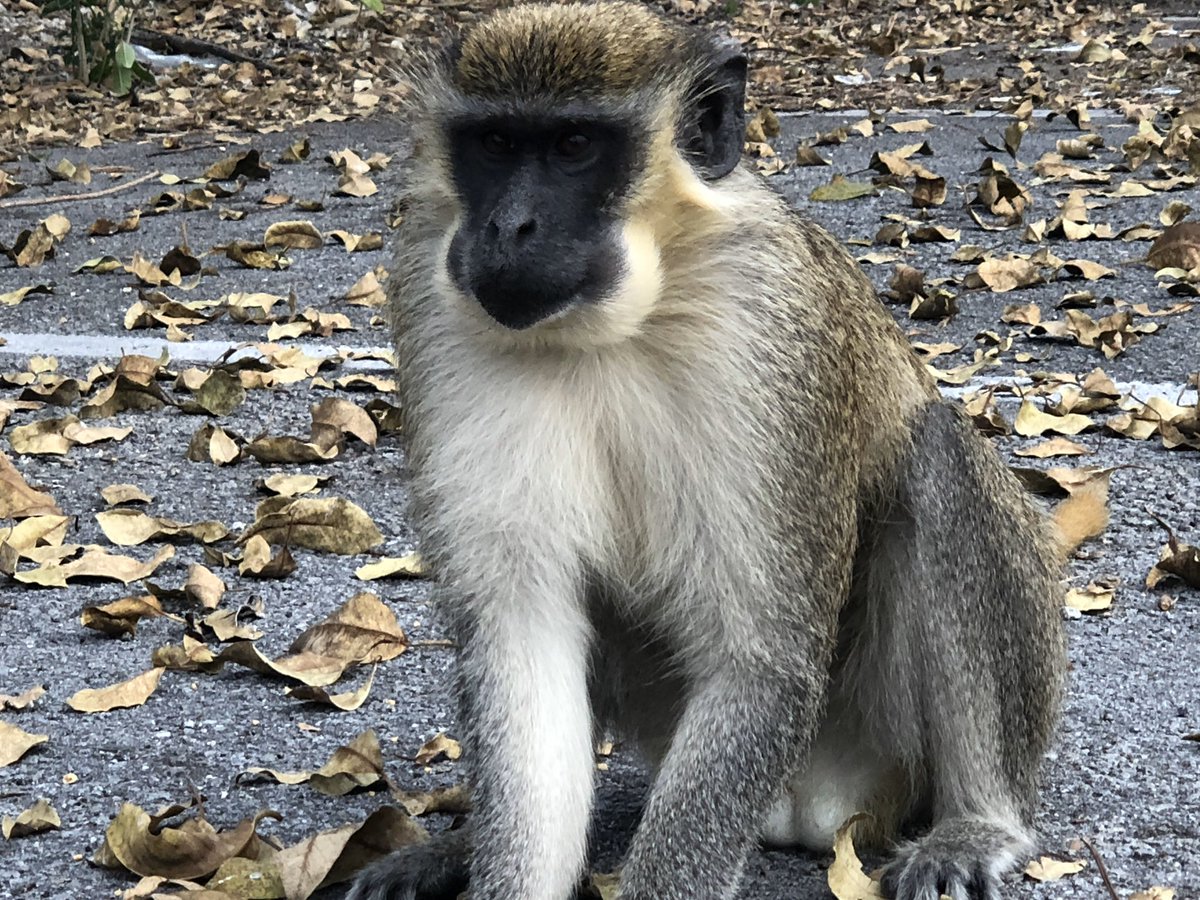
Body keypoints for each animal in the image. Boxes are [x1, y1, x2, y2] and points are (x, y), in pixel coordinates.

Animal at [347, 3, 1066, 899]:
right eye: (495, 144)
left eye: (574, 146)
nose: (508, 227)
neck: (614, 326)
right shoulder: (432, 300)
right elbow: (521, 636)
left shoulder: (770, 322)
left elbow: (762, 662)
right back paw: (459, 846)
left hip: (878, 740)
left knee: (938, 458)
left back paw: (979, 822)